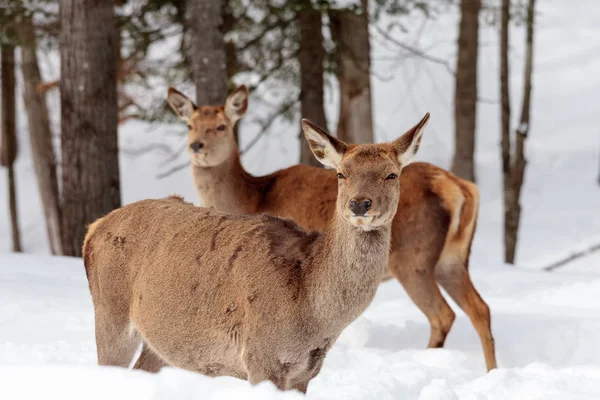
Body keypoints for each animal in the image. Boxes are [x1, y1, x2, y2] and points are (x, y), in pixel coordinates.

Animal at [84, 115, 428, 390]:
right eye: (341, 174)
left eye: (392, 174)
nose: (359, 204)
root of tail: (94, 228)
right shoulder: (261, 355)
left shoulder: (305, 372)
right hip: (110, 311)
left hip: (161, 343)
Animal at [168, 85, 496, 372]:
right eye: (189, 126)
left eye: (221, 126)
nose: (196, 146)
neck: (251, 196)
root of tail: (462, 189)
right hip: (452, 258)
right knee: (481, 308)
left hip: (414, 258)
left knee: (443, 314)